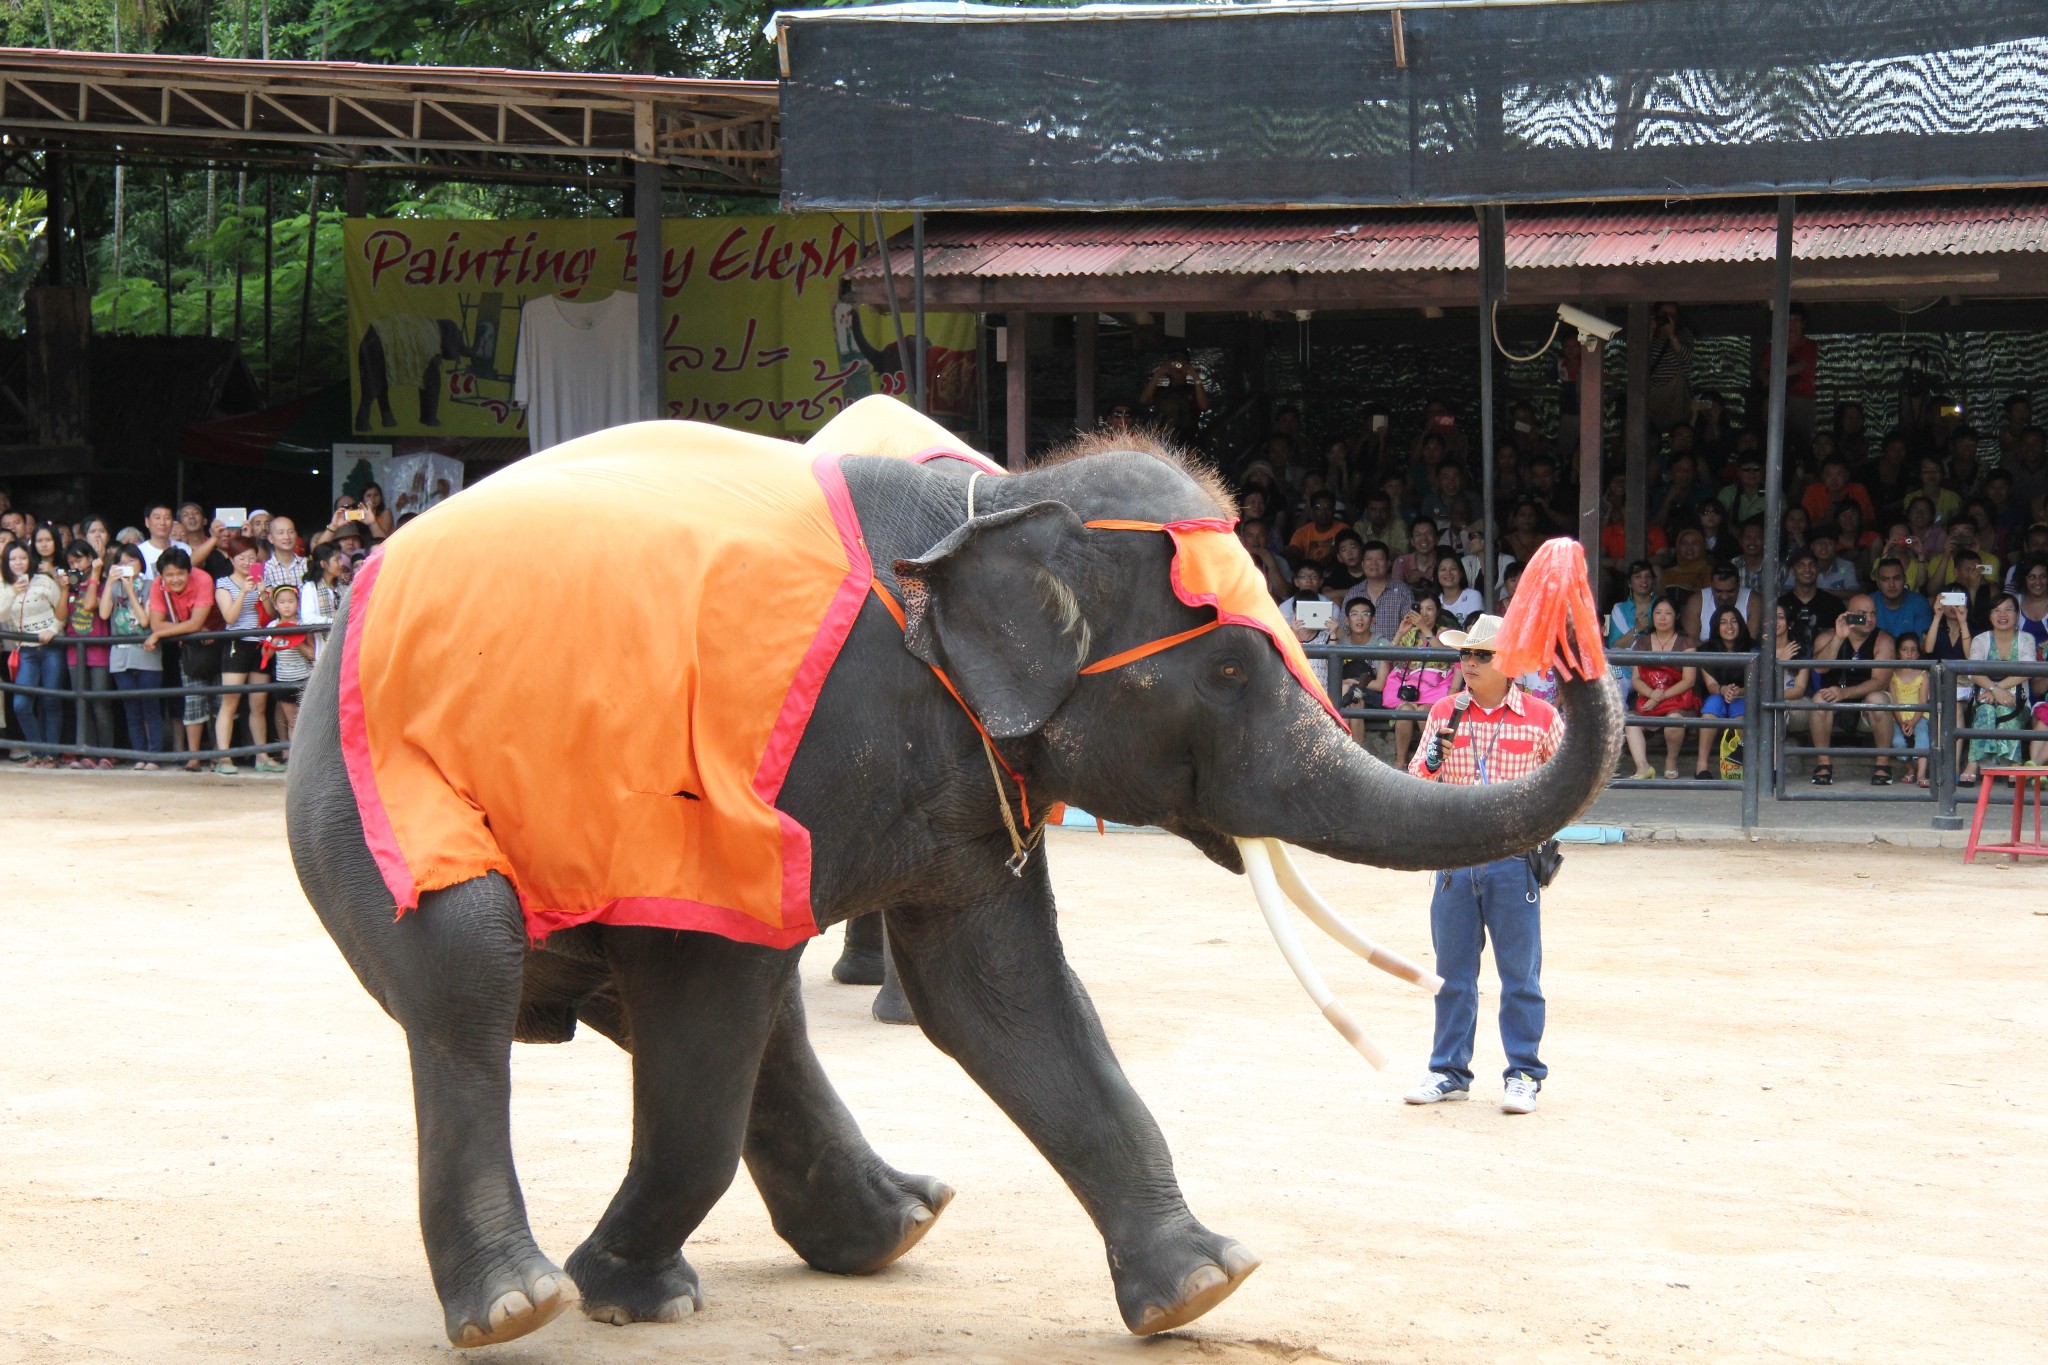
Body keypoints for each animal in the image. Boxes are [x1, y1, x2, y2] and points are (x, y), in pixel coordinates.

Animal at [280, 397, 1613, 1358]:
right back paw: (522, 1305)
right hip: (377, 796)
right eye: (1232, 671)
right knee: (475, 968)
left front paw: (1202, 1287)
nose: (1559, 582)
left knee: (689, 1009)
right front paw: (612, 1290)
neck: (993, 499)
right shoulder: (773, 767)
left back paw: (891, 1227)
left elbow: (996, 991)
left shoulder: (960, 776)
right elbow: (726, 967)